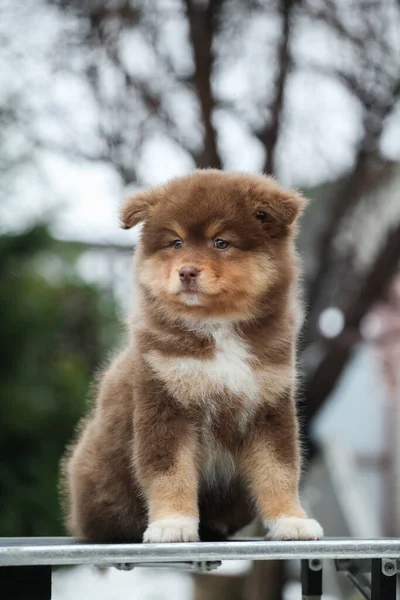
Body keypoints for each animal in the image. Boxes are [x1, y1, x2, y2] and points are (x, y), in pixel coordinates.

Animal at [63, 169, 324, 544]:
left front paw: (290, 520)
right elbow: (169, 473)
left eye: (221, 243)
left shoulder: (270, 408)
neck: (217, 327)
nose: (186, 272)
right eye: (176, 243)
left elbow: (280, 471)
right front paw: (173, 523)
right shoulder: (165, 405)